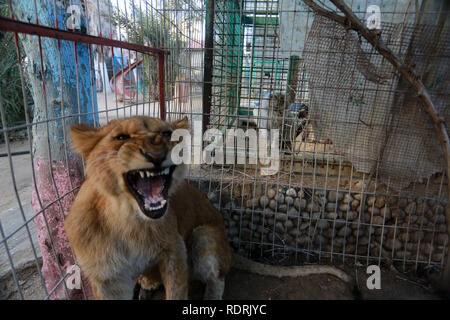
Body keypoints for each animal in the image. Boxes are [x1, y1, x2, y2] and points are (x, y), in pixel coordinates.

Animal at [65, 115, 232, 300]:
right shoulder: (107, 276)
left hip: (203, 237)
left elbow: (177, 291)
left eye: (167, 133)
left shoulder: (175, 249)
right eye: (121, 137)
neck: (130, 221)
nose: (156, 155)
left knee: (218, 278)